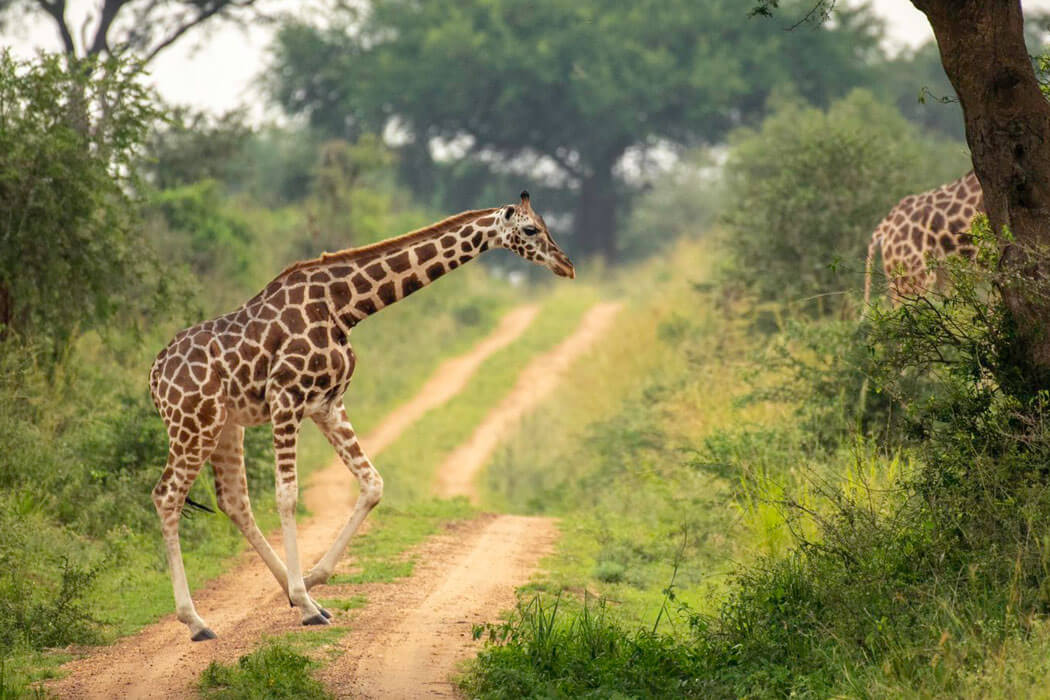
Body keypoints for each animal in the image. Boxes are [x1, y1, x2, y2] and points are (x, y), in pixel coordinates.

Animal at [149, 191, 574, 641]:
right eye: (530, 229)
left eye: (545, 225)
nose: (566, 265)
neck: (344, 305)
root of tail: (154, 377)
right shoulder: (286, 397)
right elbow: (287, 496)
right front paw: (304, 601)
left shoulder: (327, 404)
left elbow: (373, 484)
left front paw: (312, 583)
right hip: (193, 424)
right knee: (167, 496)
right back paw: (197, 621)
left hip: (225, 425)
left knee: (233, 500)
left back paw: (292, 596)